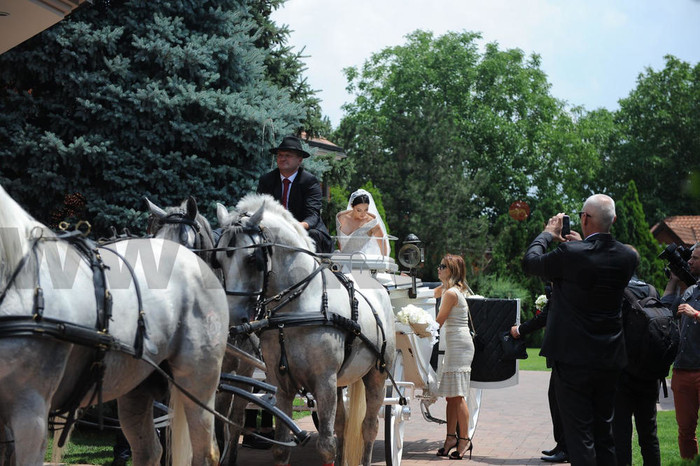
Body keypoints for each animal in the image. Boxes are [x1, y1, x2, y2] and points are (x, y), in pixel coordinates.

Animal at [0, 184, 228, 464]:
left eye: (188, 241)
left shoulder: (31, 413)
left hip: (197, 381)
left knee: (205, 452)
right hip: (135, 385)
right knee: (149, 450)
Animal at [216, 194, 396, 466]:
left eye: (252, 259)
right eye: (219, 260)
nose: (233, 318)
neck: (298, 308)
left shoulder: (324, 382)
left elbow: (326, 447)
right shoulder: (282, 385)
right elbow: (281, 448)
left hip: (377, 374)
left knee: (369, 427)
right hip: (342, 381)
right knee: (343, 425)